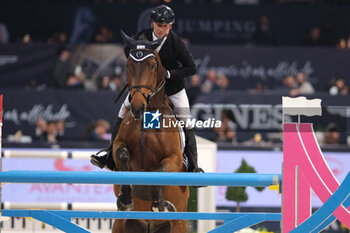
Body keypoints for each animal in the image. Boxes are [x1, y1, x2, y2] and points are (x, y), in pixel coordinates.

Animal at [111, 31, 189, 233]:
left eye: (153, 66)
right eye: (128, 66)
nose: (138, 107)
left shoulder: (174, 159)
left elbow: (160, 170)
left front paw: (159, 204)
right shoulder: (118, 144)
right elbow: (122, 155)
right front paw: (125, 199)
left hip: (178, 224)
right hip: (121, 224)